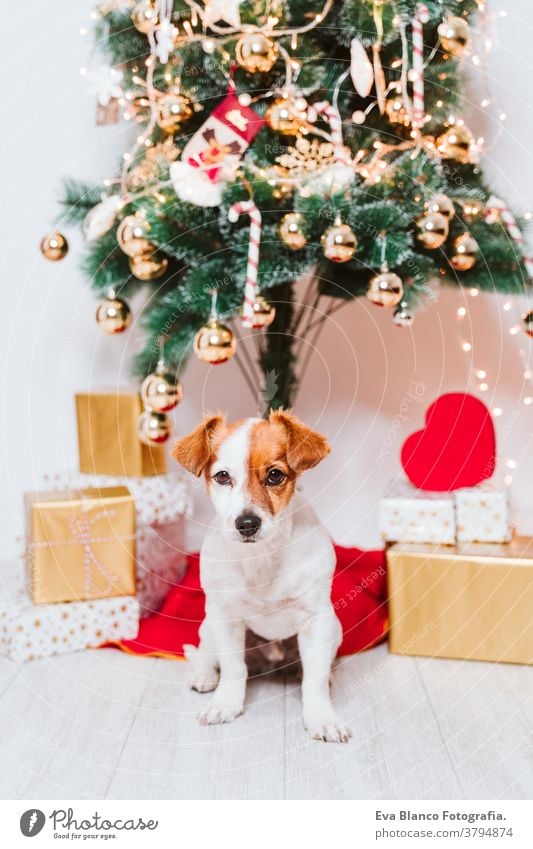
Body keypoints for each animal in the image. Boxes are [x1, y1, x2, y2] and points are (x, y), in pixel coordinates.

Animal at [172, 408, 352, 740]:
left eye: (275, 475)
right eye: (222, 476)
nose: (246, 524)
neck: (261, 559)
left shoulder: (317, 621)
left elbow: (315, 679)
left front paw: (322, 717)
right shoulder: (225, 617)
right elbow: (233, 668)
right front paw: (225, 704)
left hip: (334, 628)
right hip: (209, 626)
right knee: (205, 654)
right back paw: (204, 675)